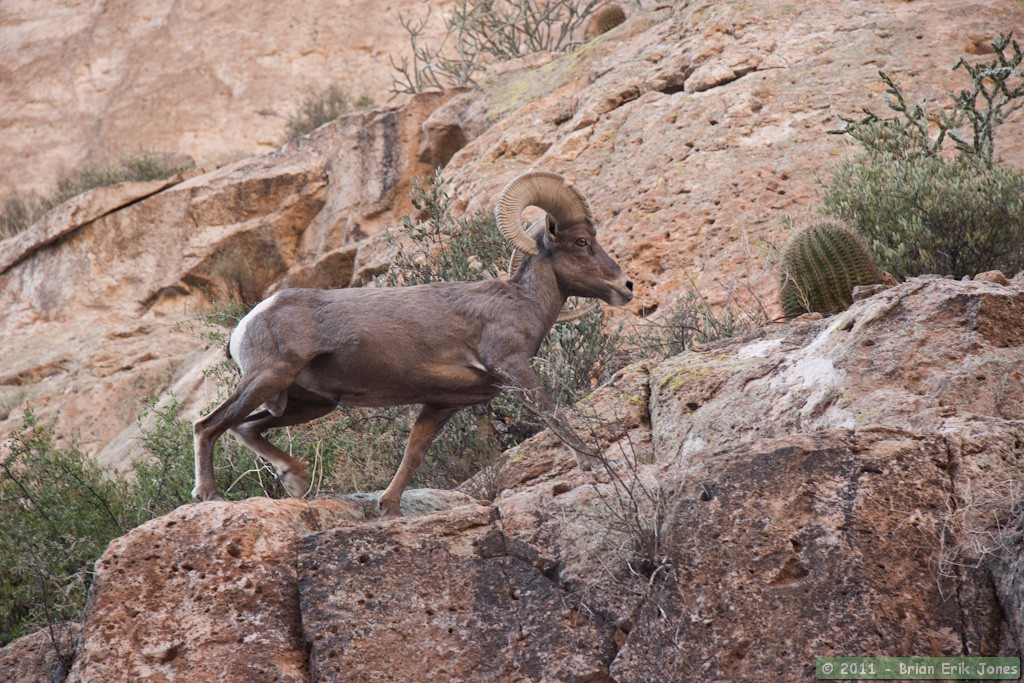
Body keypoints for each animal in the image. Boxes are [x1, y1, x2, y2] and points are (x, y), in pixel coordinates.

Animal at [192, 170, 634, 518]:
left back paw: (296, 481)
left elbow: (413, 454)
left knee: (246, 428)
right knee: (209, 425)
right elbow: (553, 414)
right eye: (581, 242)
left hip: (312, 403)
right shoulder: (513, 367)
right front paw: (594, 465)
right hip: (269, 378)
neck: (522, 302)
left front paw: (388, 508)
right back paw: (211, 496)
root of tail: (247, 321)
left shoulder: (441, 403)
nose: (626, 286)